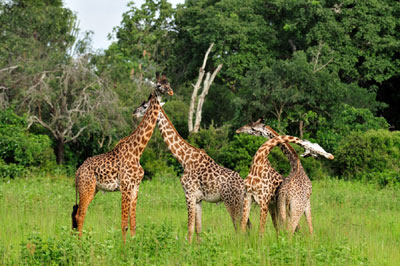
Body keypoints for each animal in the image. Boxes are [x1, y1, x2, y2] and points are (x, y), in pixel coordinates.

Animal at [71, 73, 173, 241]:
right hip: (87, 188)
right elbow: (124, 223)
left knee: (76, 213)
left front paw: (133, 243)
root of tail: (77, 172)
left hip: (93, 189)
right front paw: (124, 246)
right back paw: (79, 244)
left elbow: (133, 223)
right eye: (159, 85)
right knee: (80, 215)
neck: (137, 151)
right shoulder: (125, 186)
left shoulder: (136, 187)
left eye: (168, 83)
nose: (170, 92)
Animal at [132, 104, 250, 243]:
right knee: (247, 227)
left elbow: (190, 227)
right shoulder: (198, 199)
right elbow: (198, 228)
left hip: (232, 202)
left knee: (240, 228)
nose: (134, 113)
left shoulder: (189, 194)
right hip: (242, 204)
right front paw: (198, 246)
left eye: (145, 106)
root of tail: (243, 186)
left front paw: (187, 247)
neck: (184, 159)